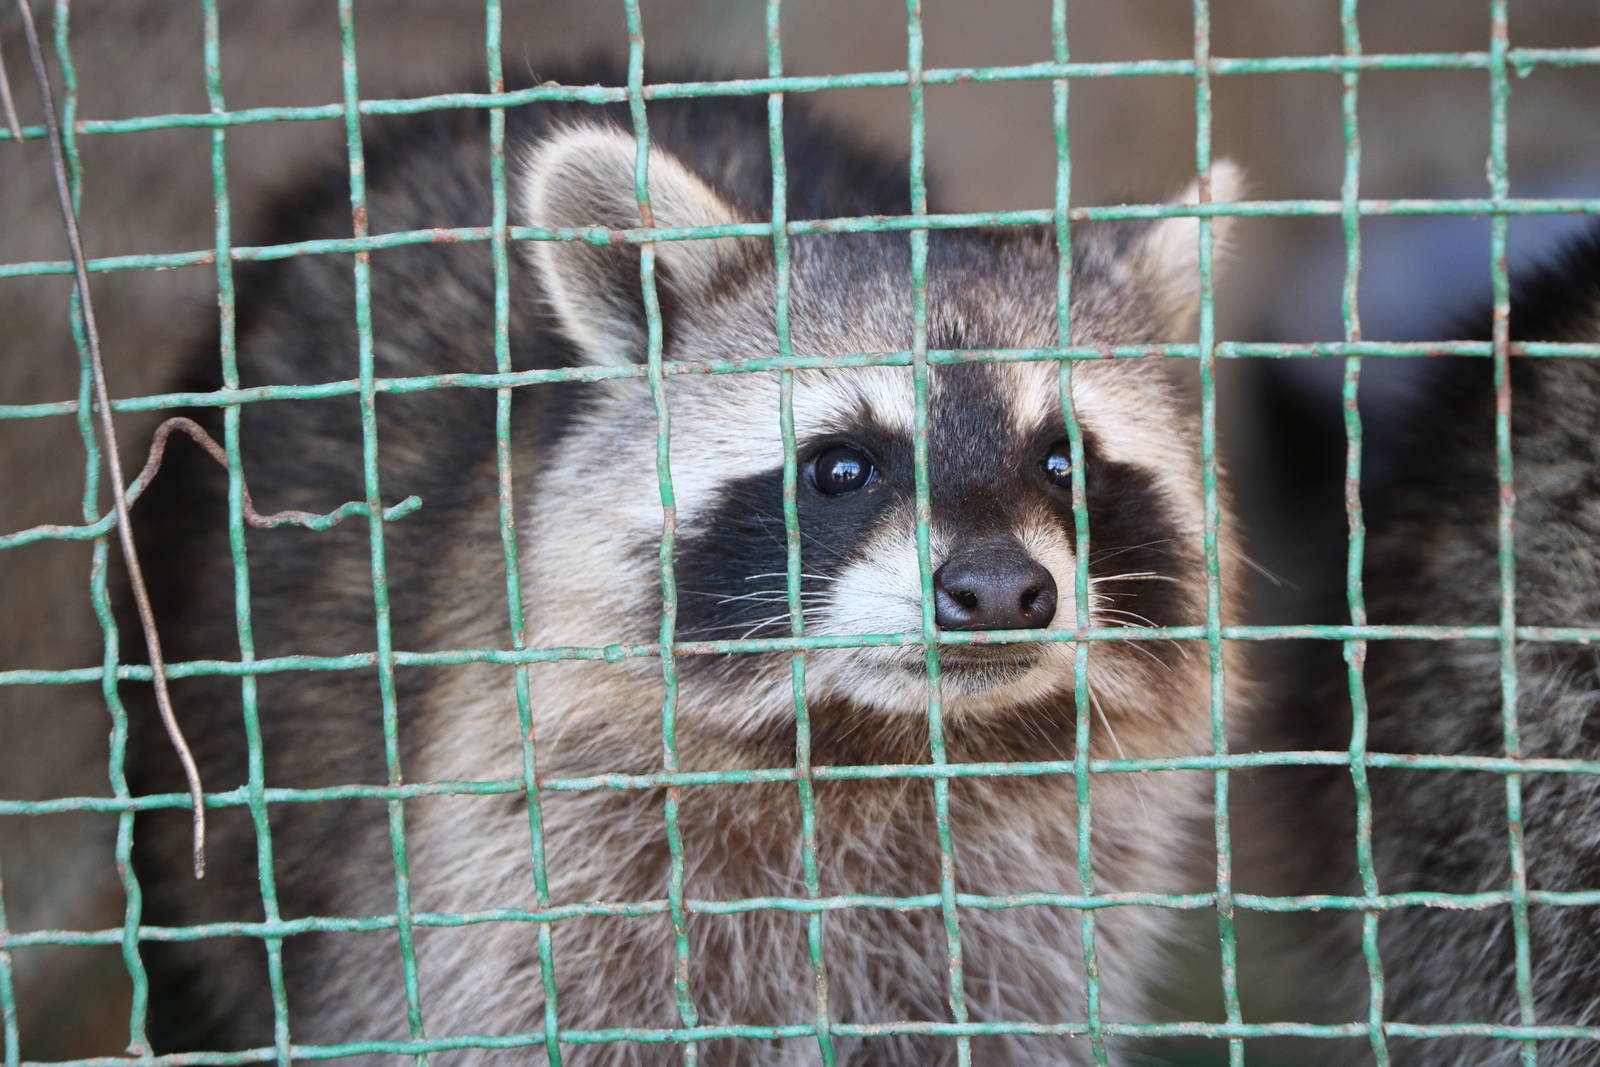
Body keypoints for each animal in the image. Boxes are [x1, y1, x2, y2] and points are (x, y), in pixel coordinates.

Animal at [128, 67, 1249, 1065]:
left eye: (1062, 460)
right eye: (842, 465)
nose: (1003, 591)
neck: (872, 740)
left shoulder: (1029, 911)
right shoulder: (524, 874)